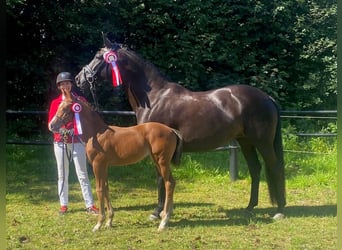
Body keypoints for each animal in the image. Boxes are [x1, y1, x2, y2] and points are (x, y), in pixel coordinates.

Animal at [48, 89, 182, 231]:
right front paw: (109, 221)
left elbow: (100, 189)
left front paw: (98, 224)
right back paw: (166, 216)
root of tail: (171, 130)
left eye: (65, 108)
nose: (52, 125)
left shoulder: (97, 165)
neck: (96, 133)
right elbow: (106, 187)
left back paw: (163, 222)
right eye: (59, 106)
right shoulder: (105, 166)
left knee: (169, 183)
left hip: (162, 162)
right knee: (172, 182)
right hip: (158, 162)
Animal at [75, 36, 286, 220]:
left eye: (97, 57)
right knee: (255, 169)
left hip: (263, 142)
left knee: (274, 167)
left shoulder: (158, 149)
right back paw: (250, 207)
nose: (78, 79)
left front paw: (157, 212)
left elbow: (160, 178)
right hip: (246, 142)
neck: (155, 98)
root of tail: (267, 98)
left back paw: (280, 210)